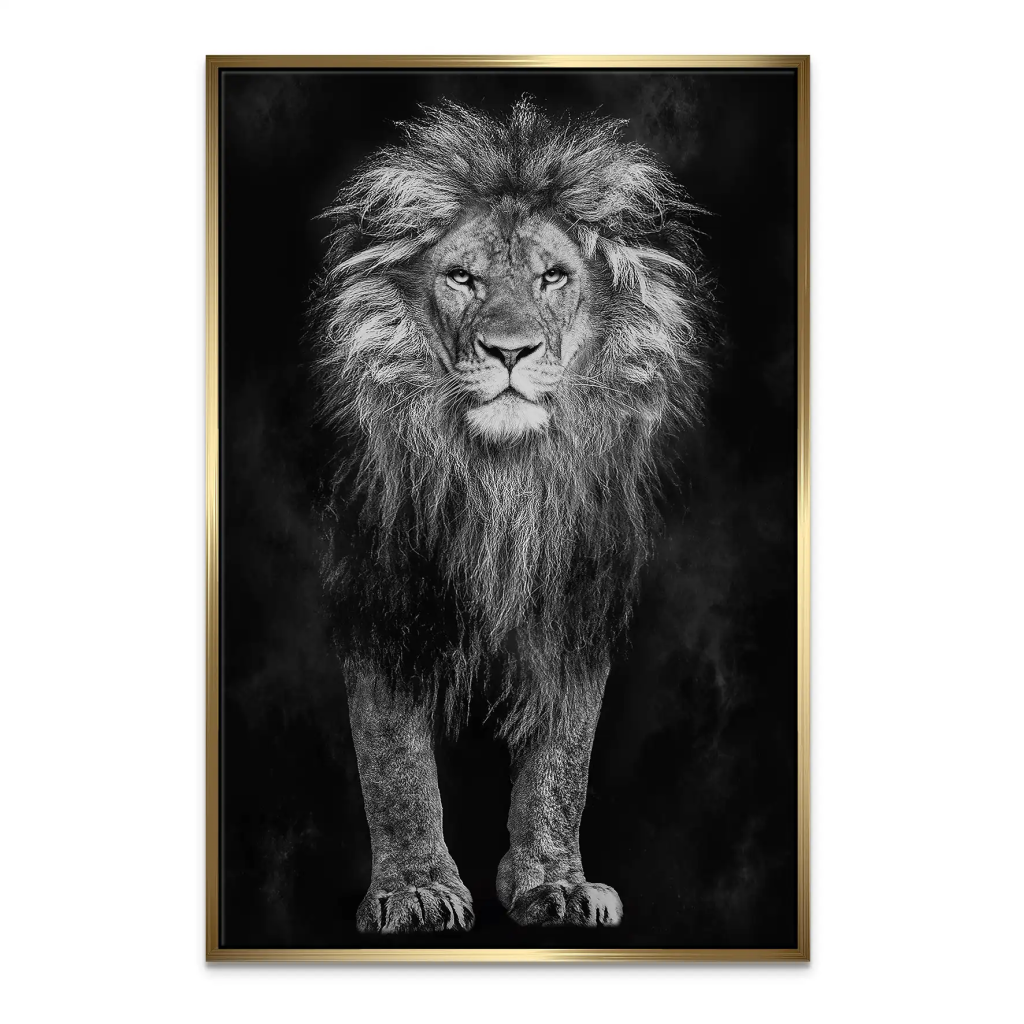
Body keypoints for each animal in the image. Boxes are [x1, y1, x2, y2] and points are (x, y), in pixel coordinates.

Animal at [312, 98, 713, 933]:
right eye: (462, 278)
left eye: (552, 277)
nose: (509, 351)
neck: (505, 480)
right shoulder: (380, 589)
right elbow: (394, 758)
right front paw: (416, 890)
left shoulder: (576, 596)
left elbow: (563, 764)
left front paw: (554, 885)